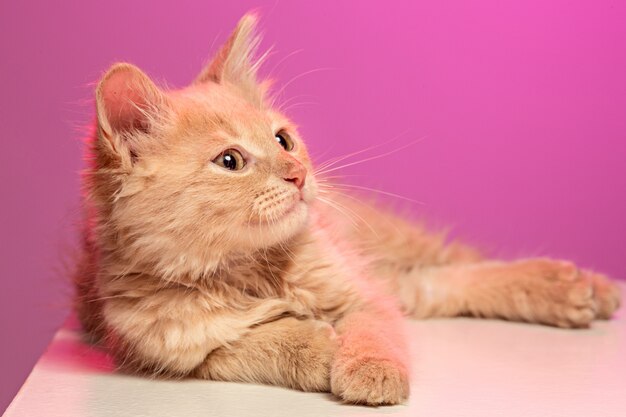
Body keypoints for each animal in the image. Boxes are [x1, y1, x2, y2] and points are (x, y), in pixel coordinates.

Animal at [74, 12, 620, 404]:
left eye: (283, 140)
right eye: (230, 161)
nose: (298, 174)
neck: (253, 272)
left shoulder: (360, 294)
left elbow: (371, 329)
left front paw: (369, 369)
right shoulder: (166, 348)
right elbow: (257, 344)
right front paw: (317, 348)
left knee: (454, 268)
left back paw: (583, 287)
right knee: (435, 286)